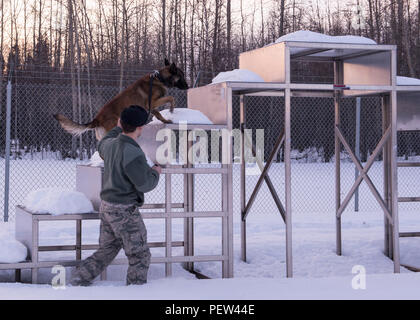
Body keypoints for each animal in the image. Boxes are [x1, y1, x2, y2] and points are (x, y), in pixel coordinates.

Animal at [54, 59, 189, 139]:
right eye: (181, 76)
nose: (188, 86)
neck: (160, 78)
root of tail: (97, 119)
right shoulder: (153, 102)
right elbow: (171, 97)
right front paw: (171, 109)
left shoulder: (151, 106)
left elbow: (159, 115)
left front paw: (166, 120)